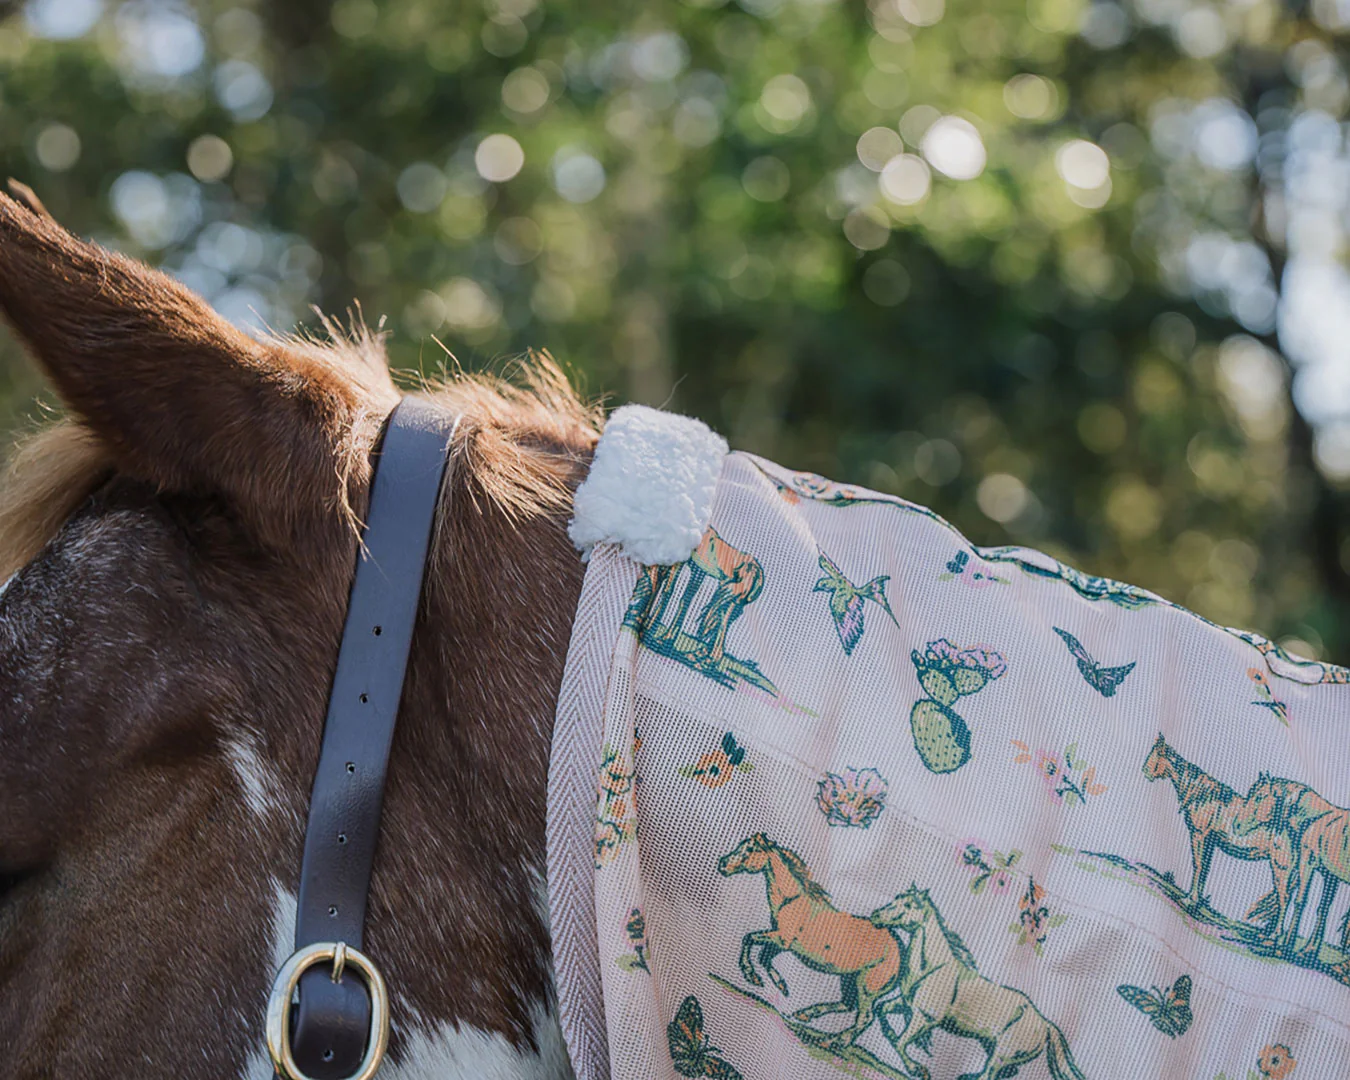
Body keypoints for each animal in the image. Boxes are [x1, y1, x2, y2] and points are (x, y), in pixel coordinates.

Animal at [717, 833, 903, 1051]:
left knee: (865, 1017)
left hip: (867, 987)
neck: (791, 901)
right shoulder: (783, 943)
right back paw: (805, 1015)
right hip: (849, 978)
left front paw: (751, 975)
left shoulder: (781, 939)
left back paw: (832, 1041)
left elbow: (750, 938)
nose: (722, 865)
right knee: (847, 1005)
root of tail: (900, 952)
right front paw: (781, 986)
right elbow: (764, 957)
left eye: (749, 850)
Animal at [869, 885, 1084, 1080]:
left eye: (908, 905)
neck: (931, 967)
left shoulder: (925, 1017)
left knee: (991, 1073)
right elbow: (881, 1009)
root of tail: (1045, 1024)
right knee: (1004, 1072)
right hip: (992, 1046)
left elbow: (900, 1042)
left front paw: (916, 1069)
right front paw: (888, 1033)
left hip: (1003, 1052)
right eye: (896, 898)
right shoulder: (906, 1004)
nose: (875, 915)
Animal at [1142, 733, 1296, 927]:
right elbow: (1204, 868)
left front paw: (1189, 900)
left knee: (1284, 898)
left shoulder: (1199, 835)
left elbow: (1198, 865)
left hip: (1280, 868)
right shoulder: (1210, 840)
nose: (1145, 771)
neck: (1202, 795)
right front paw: (1196, 901)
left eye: (1156, 754)